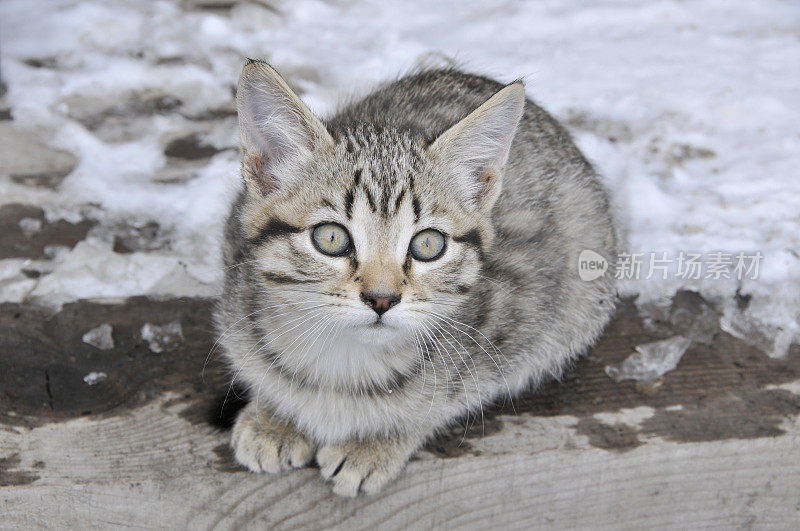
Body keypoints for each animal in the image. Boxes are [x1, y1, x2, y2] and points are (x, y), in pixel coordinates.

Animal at [214, 62, 620, 498]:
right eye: (331, 238)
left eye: (428, 244)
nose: (382, 298)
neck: (344, 359)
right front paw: (275, 415)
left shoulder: (519, 310)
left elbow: (444, 398)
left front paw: (377, 441)